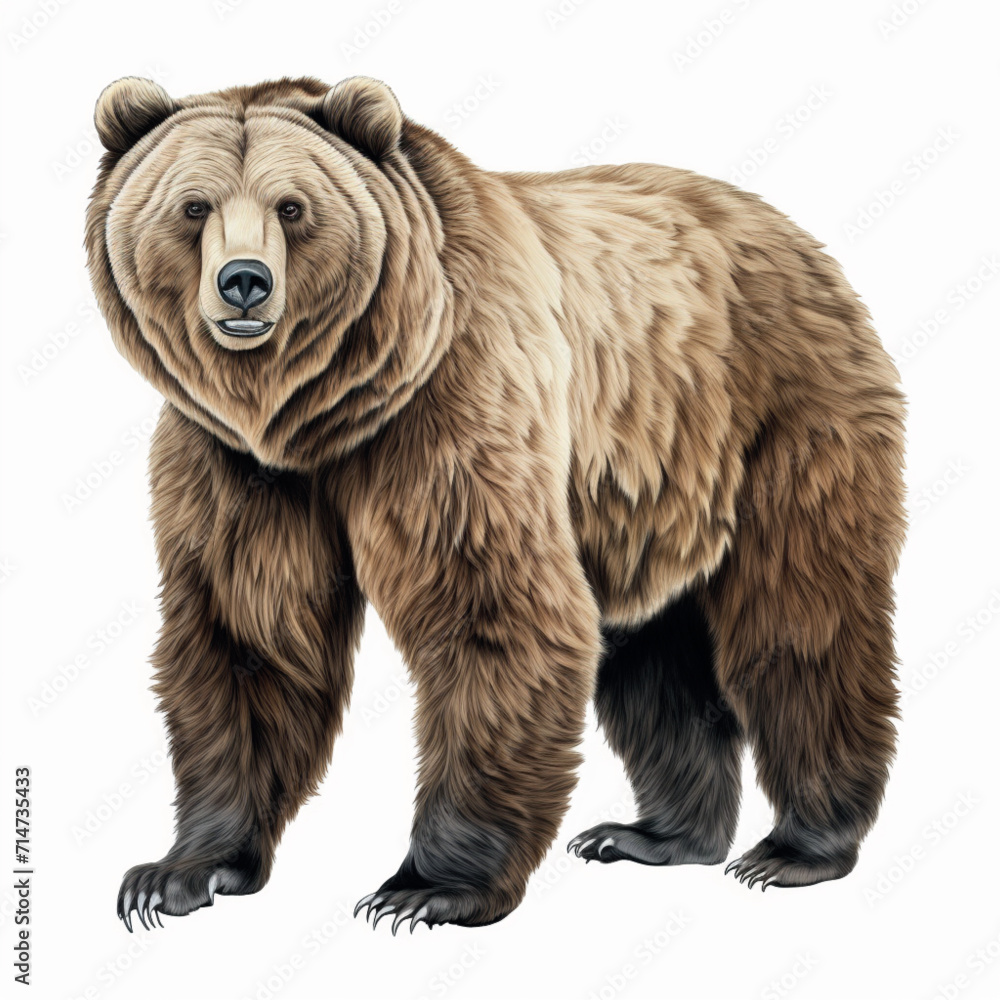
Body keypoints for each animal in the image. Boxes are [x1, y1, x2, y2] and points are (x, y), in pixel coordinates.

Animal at [86, 75, 906, 934]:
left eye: (293, 206)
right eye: (194, 206)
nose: (244, 281)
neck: (318, 418)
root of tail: (795, 234)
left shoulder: (454, 399)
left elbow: (489, 607)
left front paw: (428, 886)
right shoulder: (236, 466)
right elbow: (250, 632)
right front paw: (179, 871)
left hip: (784, 413)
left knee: (800, 619)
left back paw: (797, 847)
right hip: (650, 492)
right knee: (653, 653)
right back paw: (656, 835)